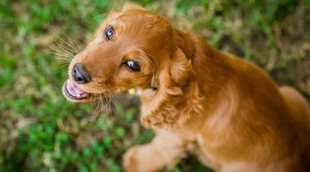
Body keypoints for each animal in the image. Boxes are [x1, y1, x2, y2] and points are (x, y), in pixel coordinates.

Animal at [61, 3, 308, 171]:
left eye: (133, 65)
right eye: (109, 31)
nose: (78, 73)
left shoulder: (172, 140)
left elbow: (157, 152)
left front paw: (134, 161)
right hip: (291, 93)